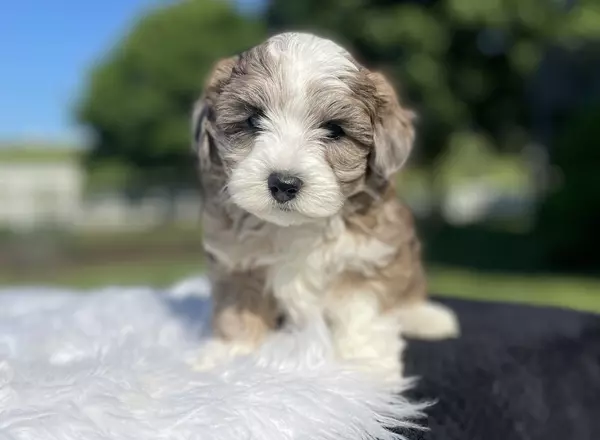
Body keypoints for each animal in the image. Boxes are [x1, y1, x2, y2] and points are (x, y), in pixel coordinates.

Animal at [192, 32, 460, 380]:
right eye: (252, 120)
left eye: (334, 130)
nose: (284, 183)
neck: (297, 226)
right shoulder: (234, 260)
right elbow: (239, 306)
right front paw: (230, 354)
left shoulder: (371, 254)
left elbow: (358, 310)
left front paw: (362, 362)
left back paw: (426, 318)